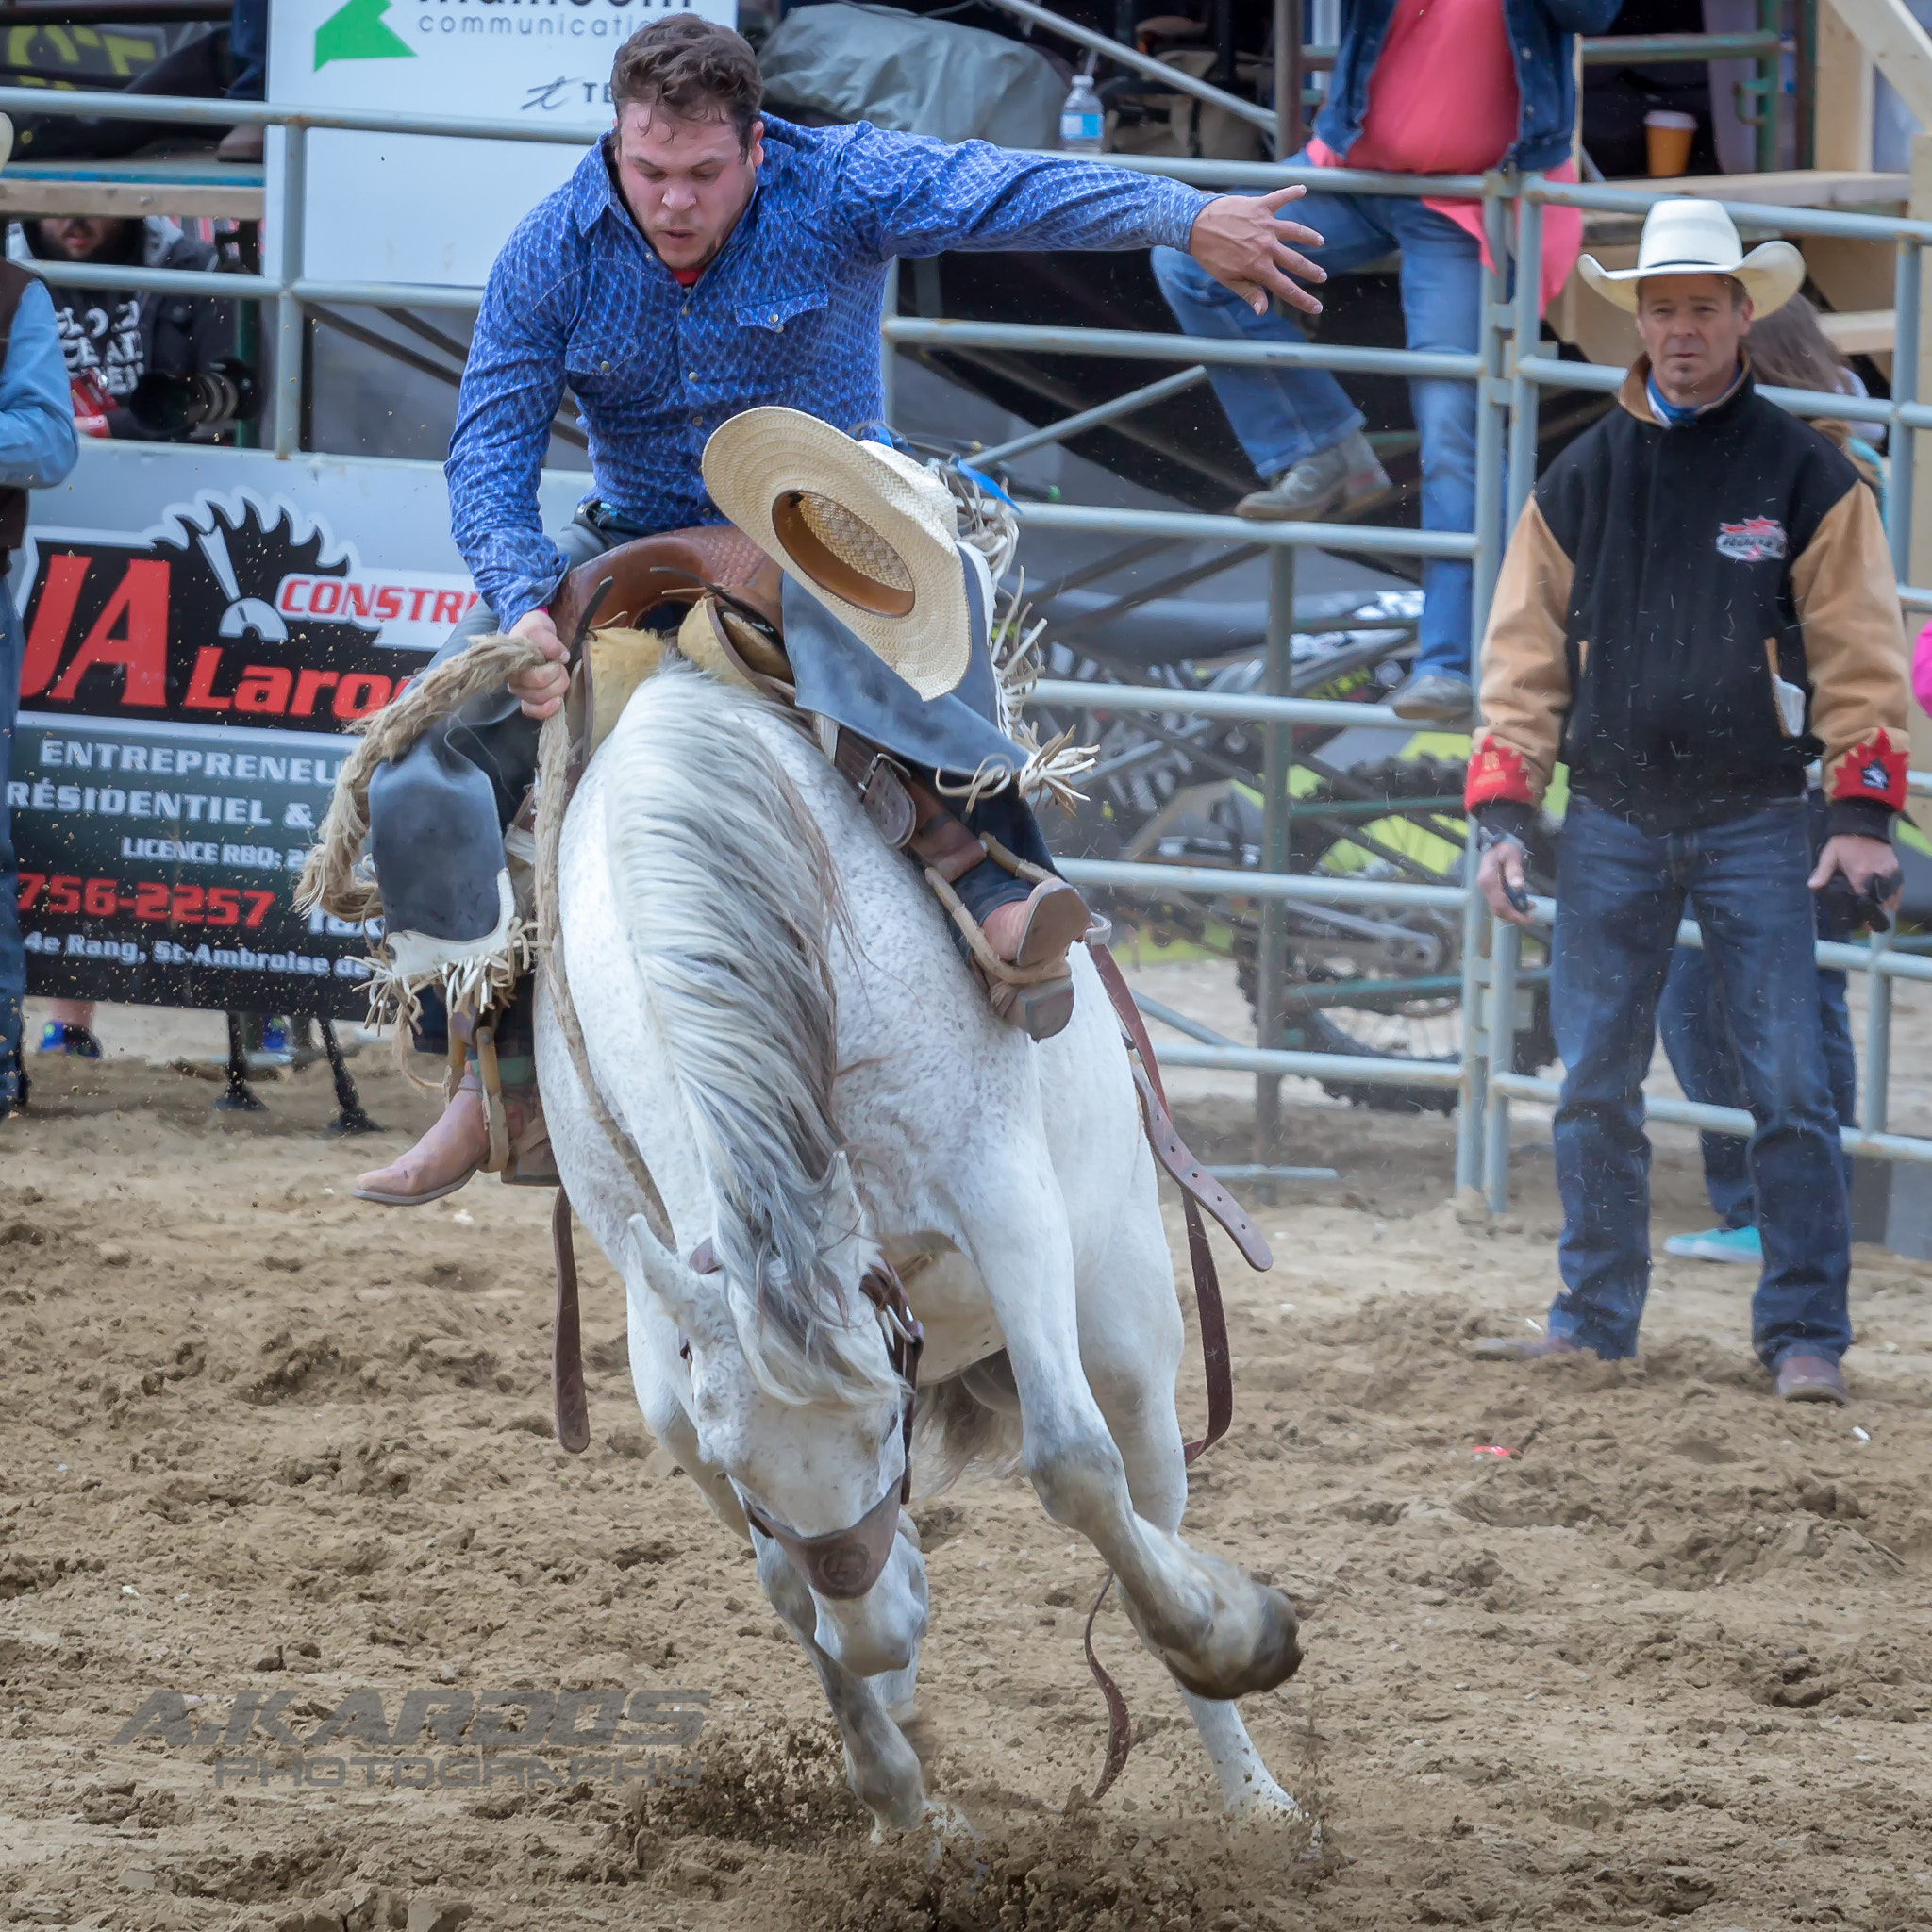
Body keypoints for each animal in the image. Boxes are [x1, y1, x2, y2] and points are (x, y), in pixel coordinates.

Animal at [537, 660, 1306, 1824]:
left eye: (883, 1426)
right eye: (740, 1465)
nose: (871, 1633)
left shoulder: (1004, 1200)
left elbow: (1075, 1470)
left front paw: (1232, 1635)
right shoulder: (665, 1364)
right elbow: (778, 1577)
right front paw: (899, 1802)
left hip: (1126, 1327)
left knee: (1148, 1495)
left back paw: (1254, 1794)